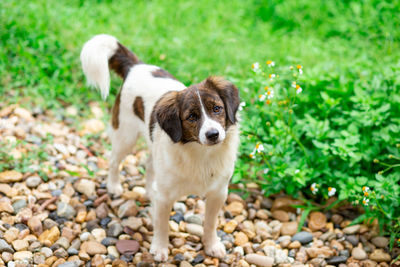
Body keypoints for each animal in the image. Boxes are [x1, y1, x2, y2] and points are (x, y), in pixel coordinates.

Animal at [79, 34, 239, 262]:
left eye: (217, 108)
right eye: (192, 117)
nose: (213, 134)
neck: (200, 154)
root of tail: (137, 66)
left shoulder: (218, 193)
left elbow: (210, 223)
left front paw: (212, 246)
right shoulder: (165, 196)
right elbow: (162, 225)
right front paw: (161, 248)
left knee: (149, 164)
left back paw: (148, 190)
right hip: (125, 137)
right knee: (114, 160)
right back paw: (114, 186)